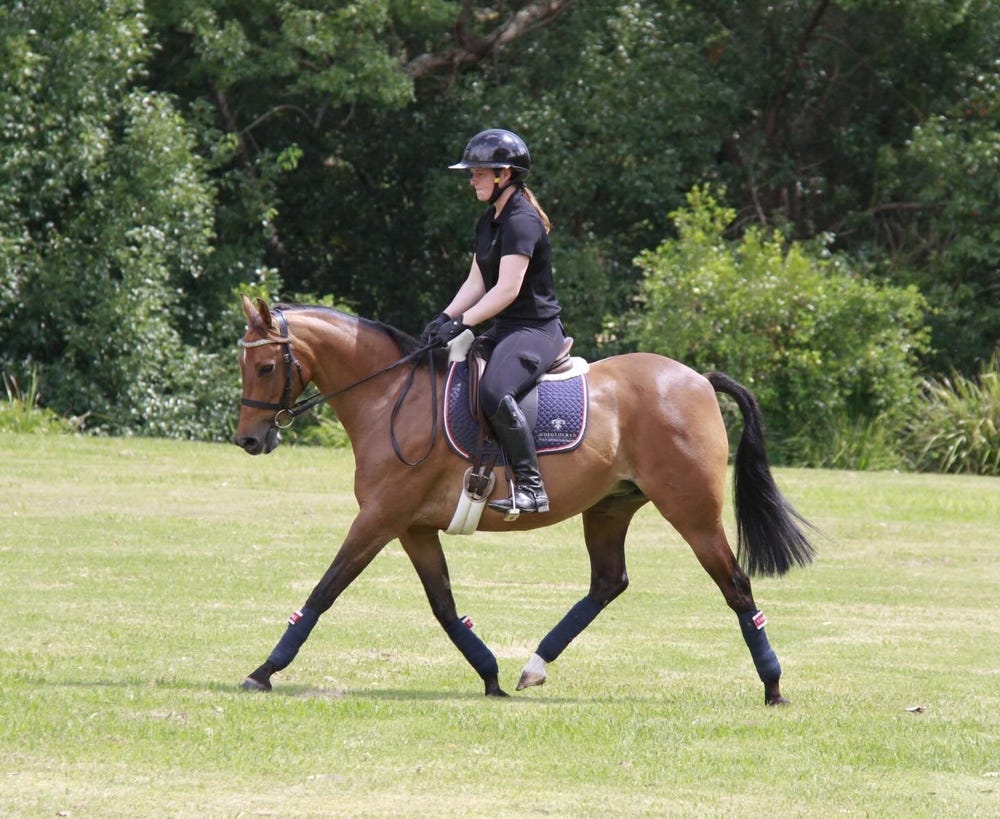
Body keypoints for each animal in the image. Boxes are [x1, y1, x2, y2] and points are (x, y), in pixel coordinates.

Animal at [233, 296, 815, 704]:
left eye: (265, 368)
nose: (248, 441)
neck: (391, 398)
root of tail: (697, 377)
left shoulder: (379, 519)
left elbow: (324, 591)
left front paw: (264, 671)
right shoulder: (412, 527)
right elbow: (444, 606)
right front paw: (488, 674)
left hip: (691, 512)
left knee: (736, 586)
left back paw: (773, 686)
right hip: (610, 507)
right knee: (608, 583)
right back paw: (533, 665)